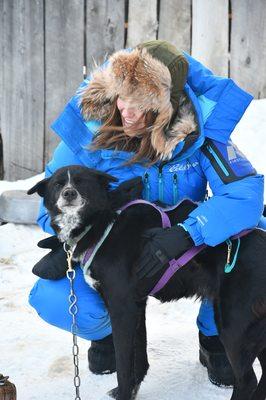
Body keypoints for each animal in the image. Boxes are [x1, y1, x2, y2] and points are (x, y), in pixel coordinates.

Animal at [28, 165, 266, 400]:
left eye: (81, 182)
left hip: (233, 324)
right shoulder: (136, 306)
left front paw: (124, 393)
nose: (69, 193)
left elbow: (124, 367)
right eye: (58, 184)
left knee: (247, 380)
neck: (104, 223)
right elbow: (139, 357)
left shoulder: (122, 308)